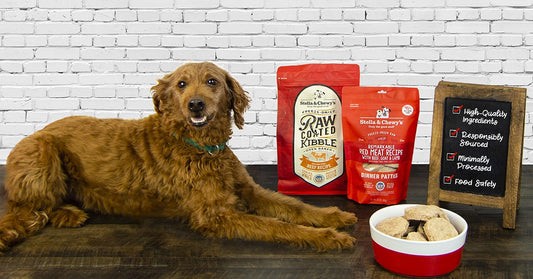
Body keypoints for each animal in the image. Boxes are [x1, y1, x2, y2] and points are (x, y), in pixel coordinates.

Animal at [1, 61, 358, 254]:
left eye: (212, 81)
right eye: (182, 84)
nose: (195, 104)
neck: (203, 148)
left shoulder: (249, 190)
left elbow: (294, 206)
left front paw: (333, 216)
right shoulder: (216, 215)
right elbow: (276, 227)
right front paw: (327, 237)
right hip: (41, 154)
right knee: (27, 210)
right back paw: (59, 217)